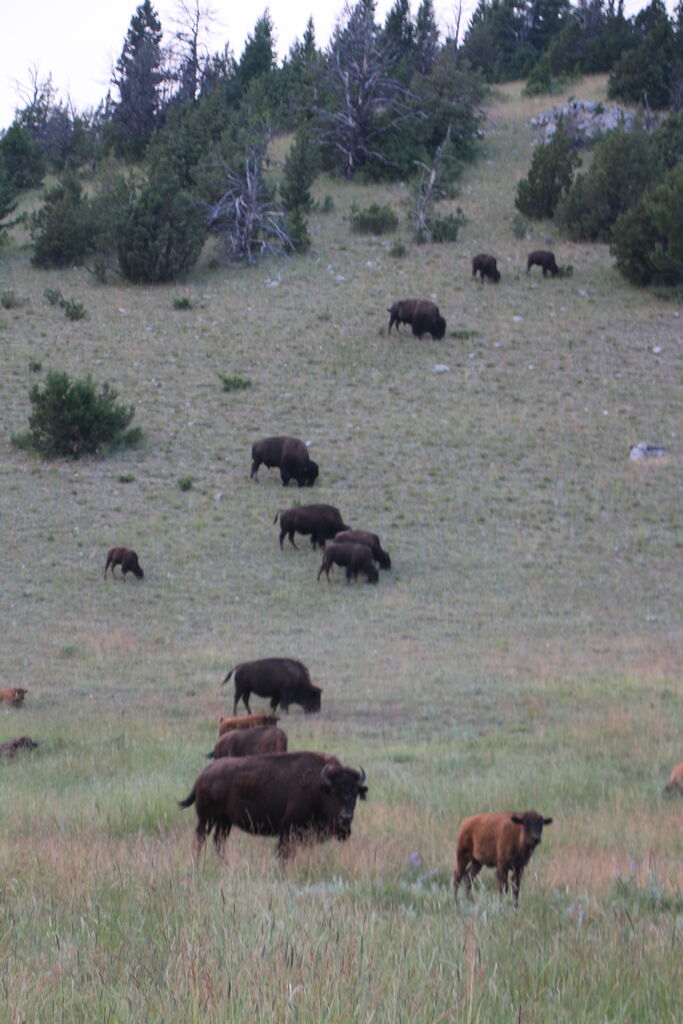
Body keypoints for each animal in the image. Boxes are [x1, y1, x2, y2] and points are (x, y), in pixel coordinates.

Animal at [179, 749, 366, 860]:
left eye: (355, 793)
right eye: (334, 793)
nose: (346, 818)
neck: (320, 787)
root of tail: (203, 774)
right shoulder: (288, 830)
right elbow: (283, 853)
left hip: (224, 821)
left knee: (218, 841)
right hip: (207, 819)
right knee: (200, 837)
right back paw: (197, 862)